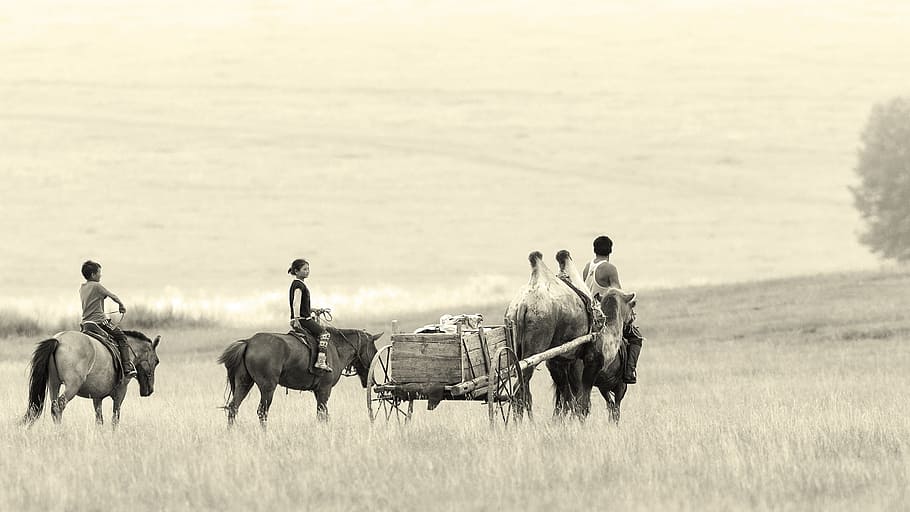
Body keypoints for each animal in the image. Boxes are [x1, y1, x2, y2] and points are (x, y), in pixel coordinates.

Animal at [21, 330, 161, 428]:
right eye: (156, 361)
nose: (150, 390)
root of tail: (59, 340)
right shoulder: (121, 392)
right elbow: (115, 418)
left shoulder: (97, 396)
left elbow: (99, 420)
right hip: (72, 386)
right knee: (59, 405)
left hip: (53, 384)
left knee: (54, 406)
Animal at [218, 326, 381, 427]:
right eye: (375, 351)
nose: (371, 380)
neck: (335, 348)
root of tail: (249, 342)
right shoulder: (325, 390)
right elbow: (321, 414)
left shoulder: (318, 391)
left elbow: (324, 414)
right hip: (267, 388)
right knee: (262, 412)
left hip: (244, 384)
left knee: (233, 407)